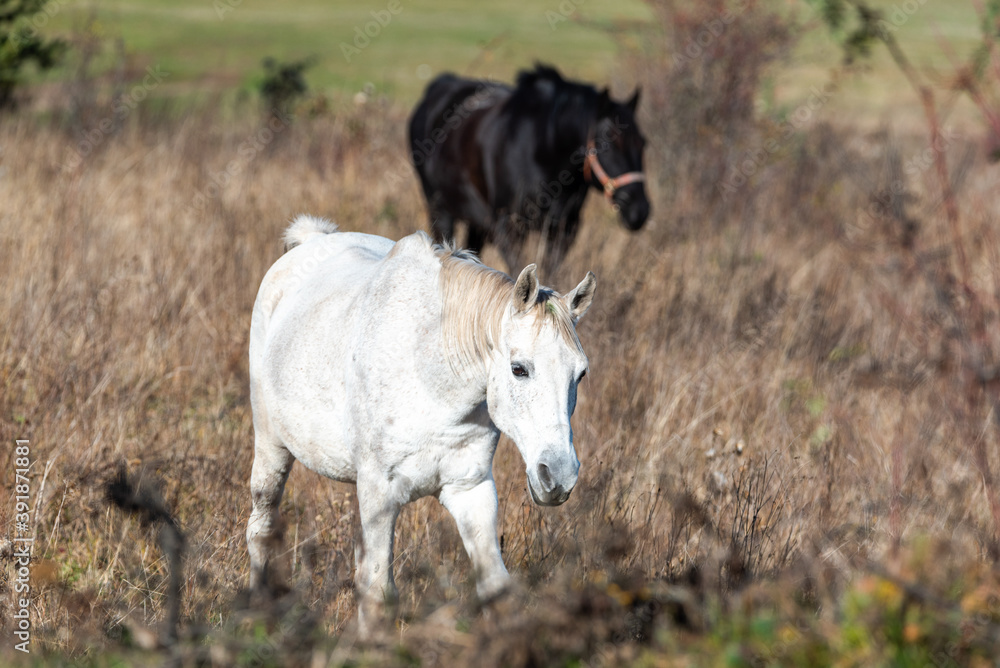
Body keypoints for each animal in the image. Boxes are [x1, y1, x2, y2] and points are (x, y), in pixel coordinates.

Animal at [246, 214, 597, 635]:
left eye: (580, 374)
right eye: (519, 369)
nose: (558, 476)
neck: (432, 376)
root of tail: (311, 241)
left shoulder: (469, 488)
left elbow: (494, 587)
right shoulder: (380, 494)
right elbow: (378, 593)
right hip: (271, 447)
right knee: (261, 529)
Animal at [408, 63, 650, 274]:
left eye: (643, 143)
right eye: (607, 144)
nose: (639, 210)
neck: (543, 150)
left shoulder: (562, 231)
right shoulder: (509, 229)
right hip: (441, 211)